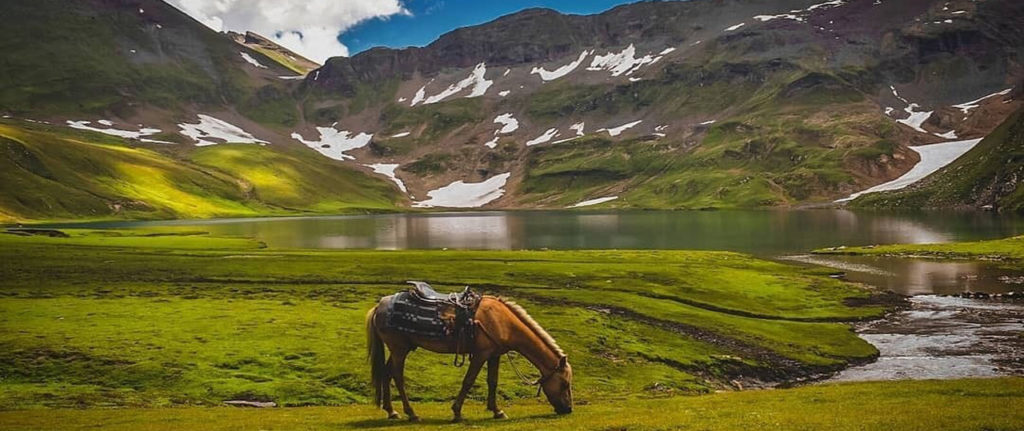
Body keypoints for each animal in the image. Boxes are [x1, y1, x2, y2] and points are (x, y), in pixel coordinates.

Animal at [366, 292, 577, 419]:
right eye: (564, 383)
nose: (568, 409)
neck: (503, 322)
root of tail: (379, 306)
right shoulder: (480, 354)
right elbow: (468, 380)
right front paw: (457, 412)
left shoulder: (494, 355)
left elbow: (493, 381)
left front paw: (497, 411)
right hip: (399, 349)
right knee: (397, 377)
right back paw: (411, 413)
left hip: (400, 349)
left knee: (386, 373)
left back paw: (392, 411)